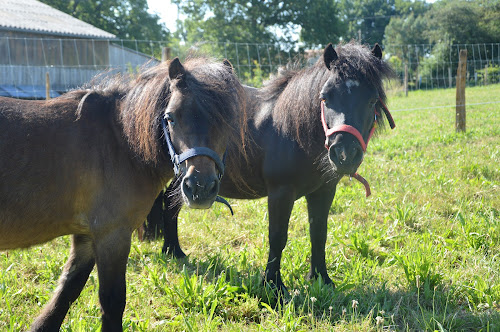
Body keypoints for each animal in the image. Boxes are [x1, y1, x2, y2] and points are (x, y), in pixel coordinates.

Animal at [0, 55, 244, 330]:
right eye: (170, 118)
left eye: (229, 121)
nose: (200, 187)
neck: (122, 142)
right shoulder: (112, 235)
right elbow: (112, 301)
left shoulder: (87, 235)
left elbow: (66, 292)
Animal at [151, 42, 394, 294]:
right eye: (325, 97)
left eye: (372, 100)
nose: (344, 154)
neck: (292, 130)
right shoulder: (280, 193)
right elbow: (277, 236)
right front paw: (273, 285)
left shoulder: (324, 191)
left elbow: (319, 233)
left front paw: (321, 279)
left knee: (170, 204)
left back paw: (174, 252)